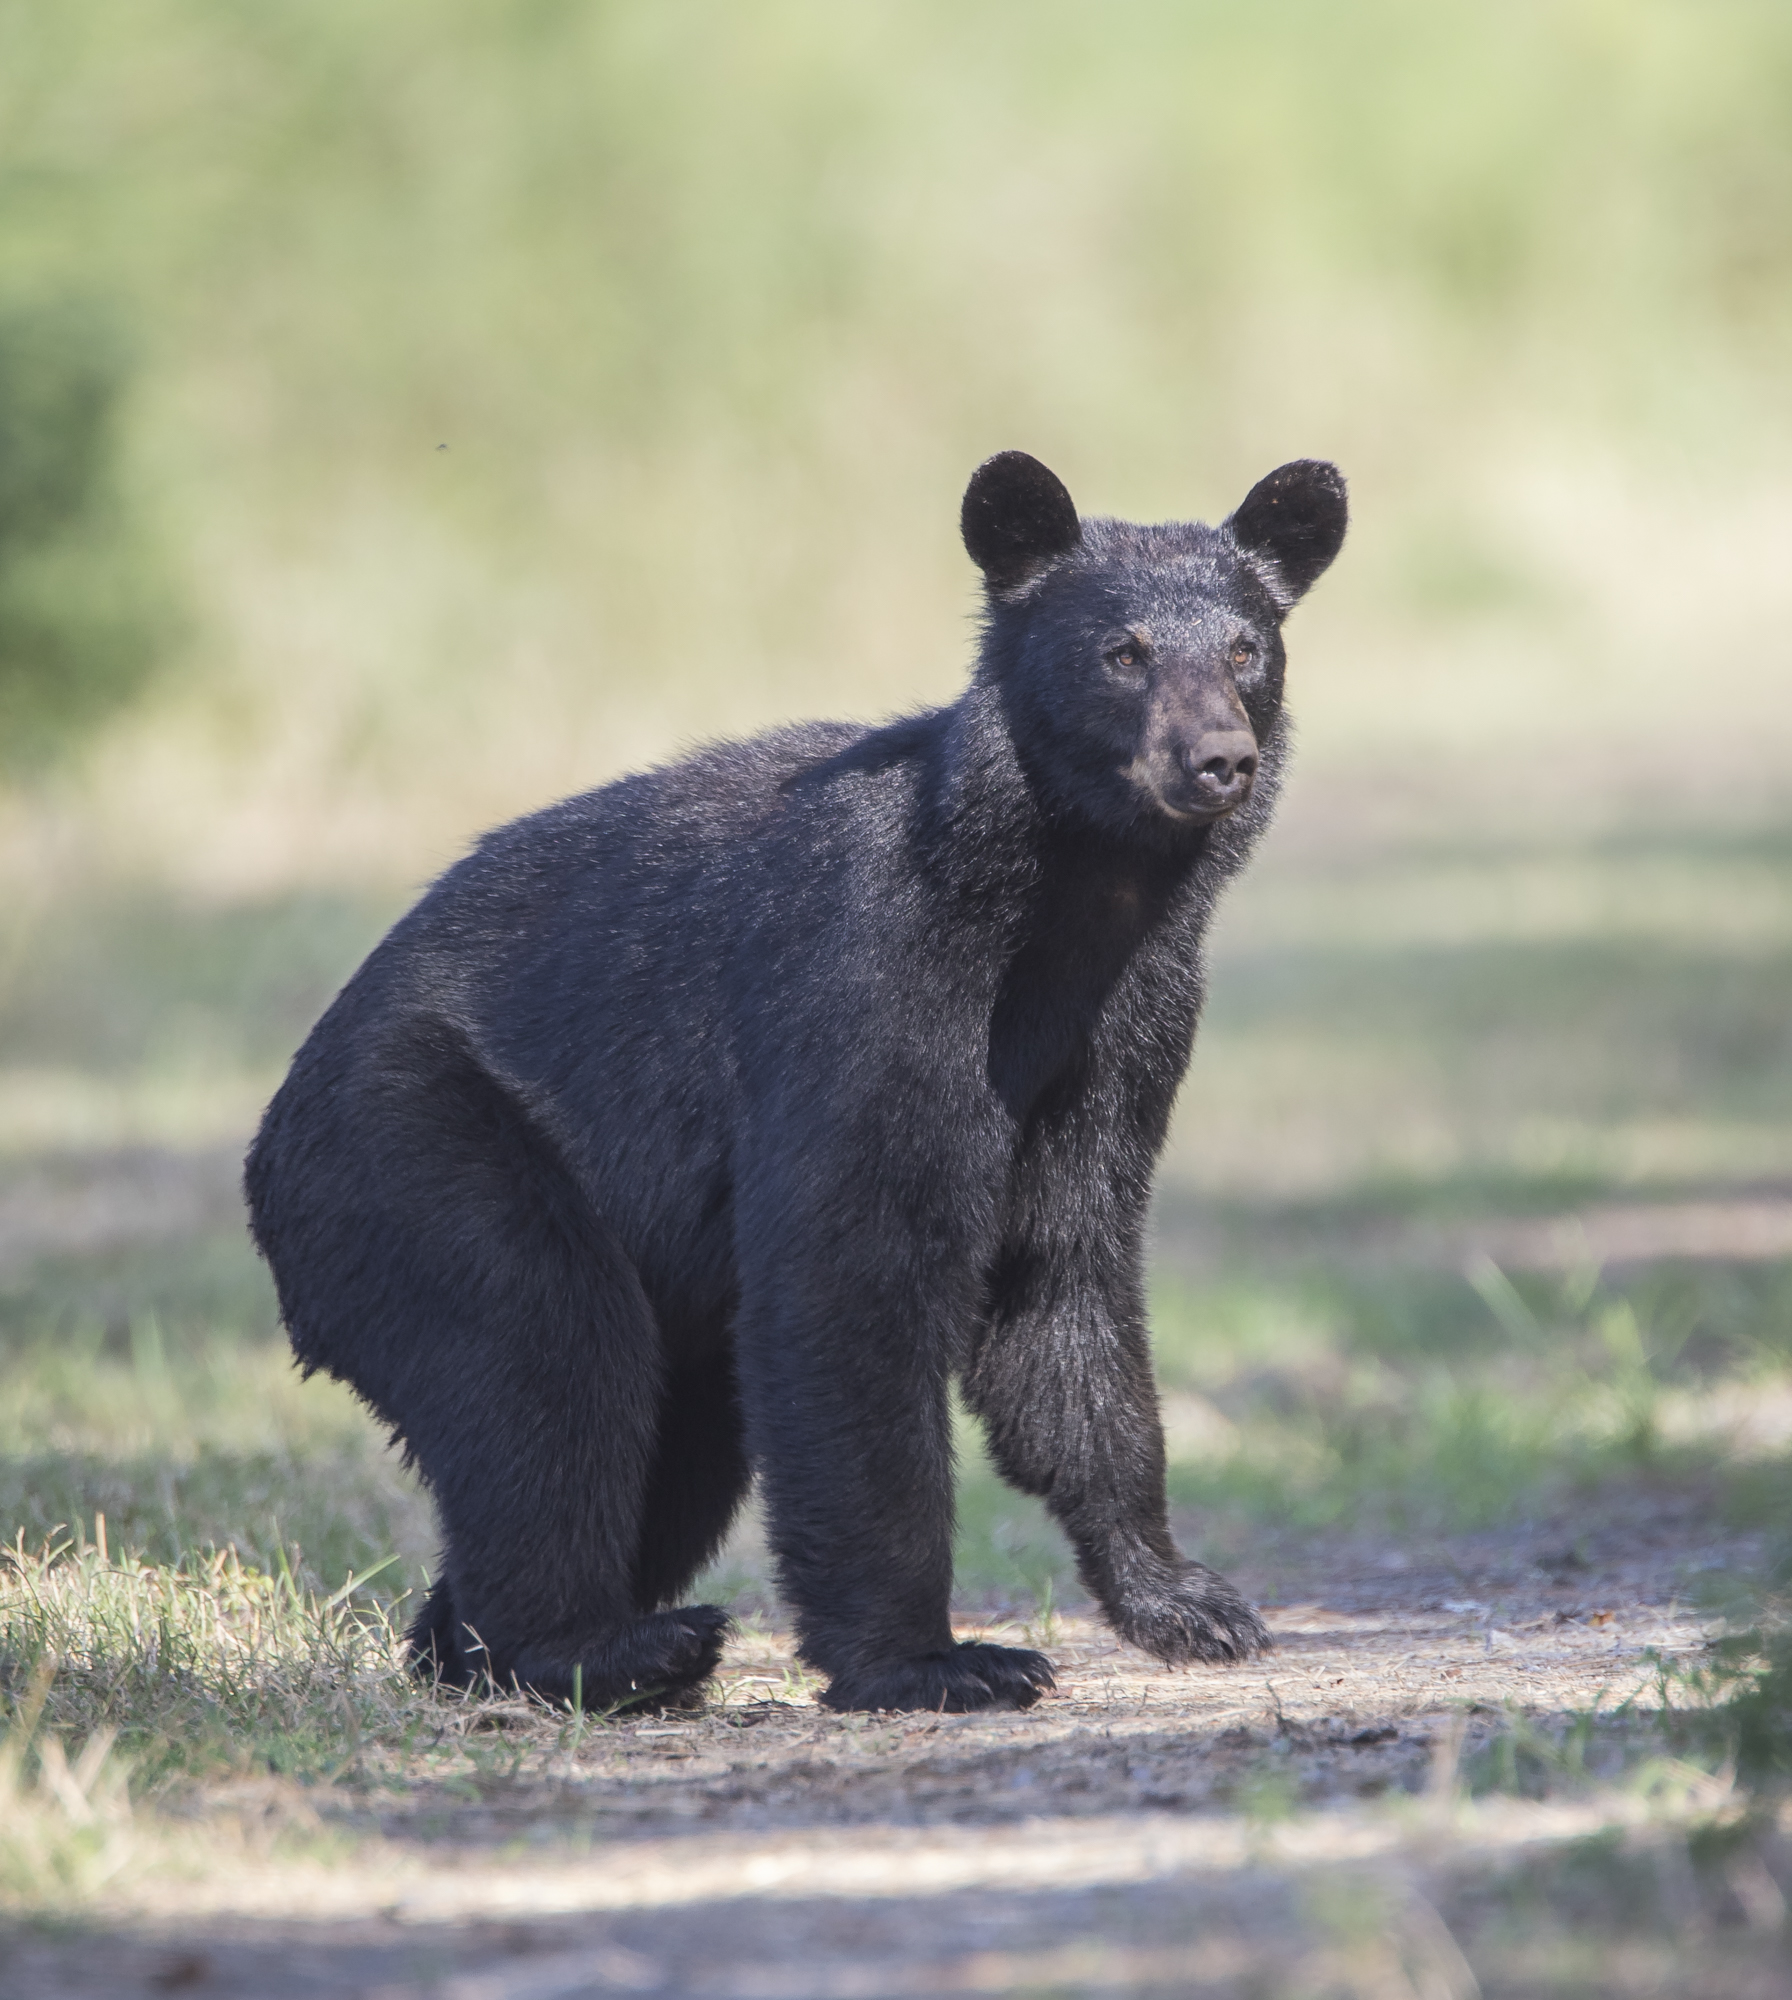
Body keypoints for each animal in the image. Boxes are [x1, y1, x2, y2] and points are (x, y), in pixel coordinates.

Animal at [244, 450, 1347, 1714]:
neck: (1060, 892)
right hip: (411, 1147)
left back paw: (490, 1643)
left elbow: (1062, 1272)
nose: (1216, 758)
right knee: (545, 1355)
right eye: (1122, 650)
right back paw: (597, 1643)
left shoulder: (1128, 1019)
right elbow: (850, 1268)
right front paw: (937, 1655)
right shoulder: (869, 973)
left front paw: (1186, 1599)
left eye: (1246, 648)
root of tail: (273, 1138)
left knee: (672, 1431)